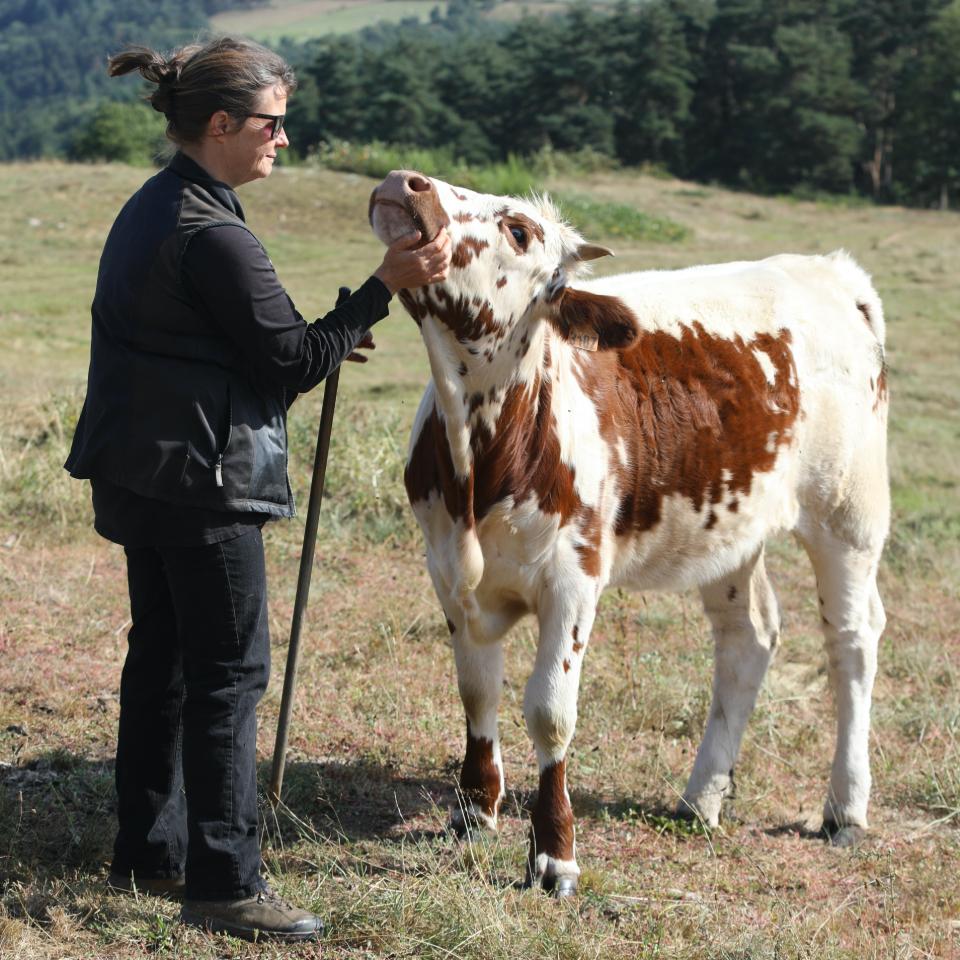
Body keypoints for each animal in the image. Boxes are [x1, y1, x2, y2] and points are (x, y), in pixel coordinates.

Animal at [369, 170, 889, 896]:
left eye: (519, 230)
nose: (405, 181)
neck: (482, 454)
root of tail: (830, 271)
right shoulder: (448, 573)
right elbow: (476, 691)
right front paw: (473, 811)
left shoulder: (573, 579)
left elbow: (550, 710)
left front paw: (553, 854)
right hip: (729, 525)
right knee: (747, 638)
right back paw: (702, 797)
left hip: (849, 515)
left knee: (851, 642)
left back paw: (845, 807)